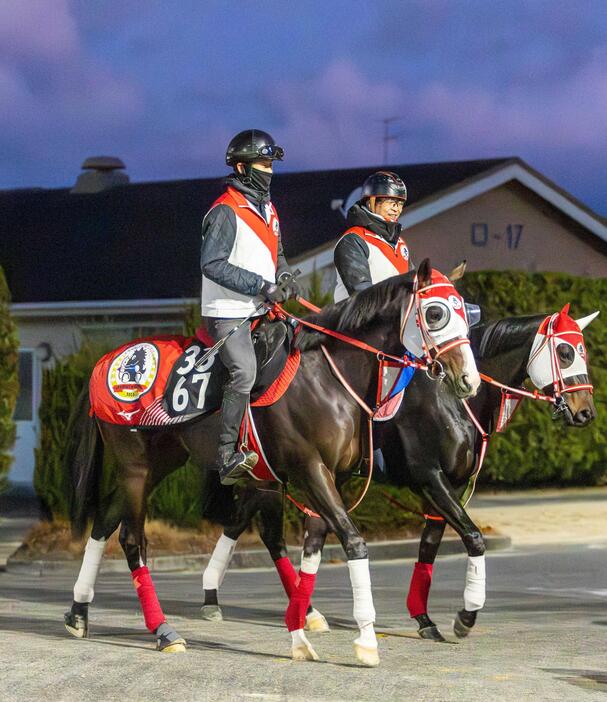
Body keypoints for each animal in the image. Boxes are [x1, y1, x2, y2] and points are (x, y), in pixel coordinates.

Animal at [61, 262, 480, 668]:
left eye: (467, 311)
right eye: (437, 312)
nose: (468, 380)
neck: (327, 379)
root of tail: (105, 362)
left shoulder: (333, 477)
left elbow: (313, 546)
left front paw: (299, 632)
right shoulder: (314, 470)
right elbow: (354, 543)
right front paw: (365, 639)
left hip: (162, 462)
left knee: (105, 520)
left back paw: (79, 612)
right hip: (138, 466)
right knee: (132, 539)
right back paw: (164, 631)